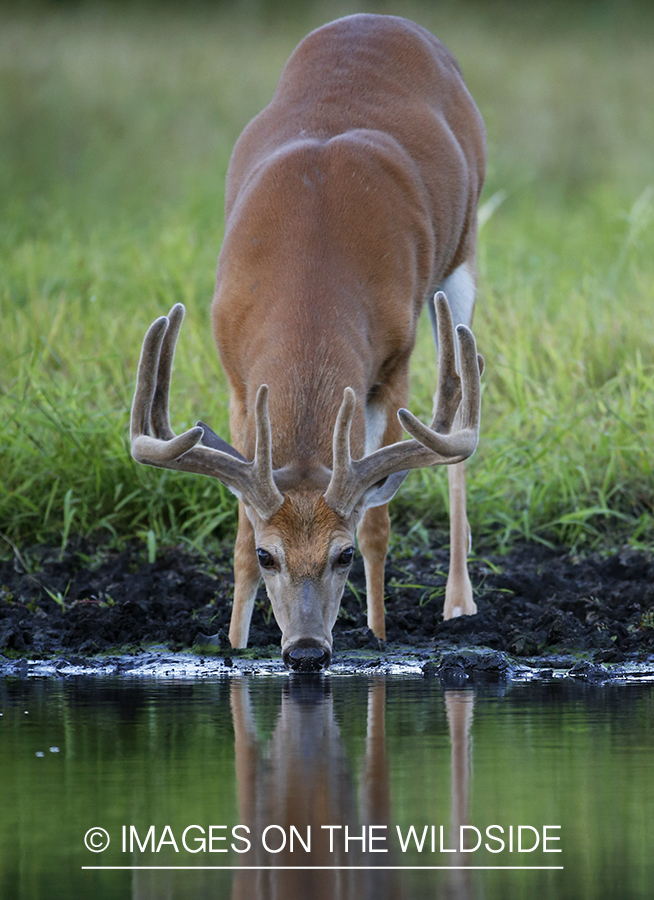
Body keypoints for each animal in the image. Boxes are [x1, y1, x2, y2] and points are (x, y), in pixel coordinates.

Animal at [129, 14, 486, 672]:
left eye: (340, 556)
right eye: (271, 557)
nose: (305, 651)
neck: (311, 276)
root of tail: (381, 18)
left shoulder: (393, 363)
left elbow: (377, 523)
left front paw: (378, 637)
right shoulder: (237, 376)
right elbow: (239, 530)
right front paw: (235, 643)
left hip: (463, 255)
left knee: (459, 416)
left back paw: (459, 602)